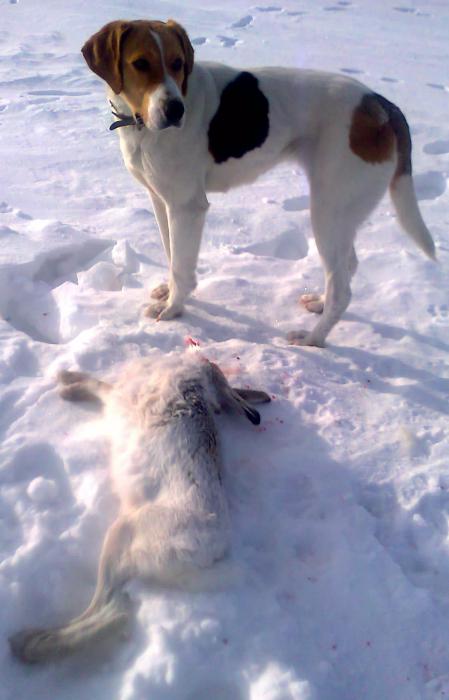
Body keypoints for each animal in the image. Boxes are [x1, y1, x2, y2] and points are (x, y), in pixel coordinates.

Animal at [8, 352, 270, 664]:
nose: (207, 360)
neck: (196, 381)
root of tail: (212, 552)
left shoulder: (120, 397)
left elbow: (99, 385)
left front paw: (67, 385)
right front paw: (67, 377)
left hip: (124, 533)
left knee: (112, 609)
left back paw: (29, 644)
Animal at [79, 20, 432, 348]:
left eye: (178, 62)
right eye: (140, 63)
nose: (176, 110)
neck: (140, 125)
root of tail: (380, 103)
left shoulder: (186, 207)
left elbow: (181, 266)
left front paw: (174, 309)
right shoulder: (161, 199)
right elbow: (172, 255)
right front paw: (169, 293)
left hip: (328, 211)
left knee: (342, 291)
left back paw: (312, 339)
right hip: (339, 215)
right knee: (347, 267)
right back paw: (318, 304)